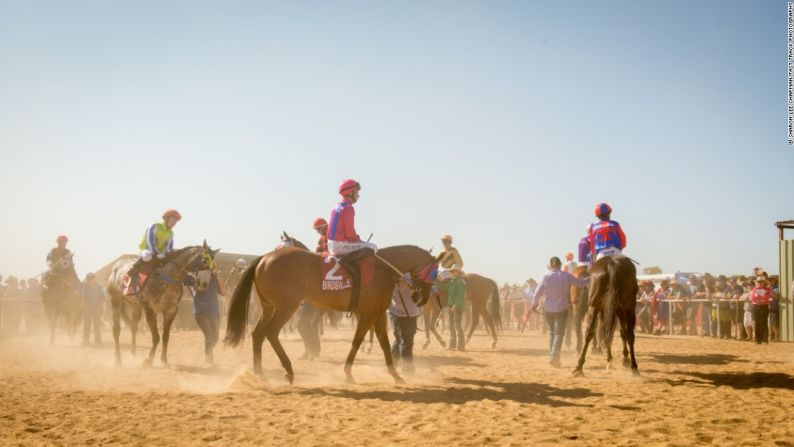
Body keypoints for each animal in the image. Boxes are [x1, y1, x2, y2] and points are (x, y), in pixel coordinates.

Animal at [223, 245, 436, 384]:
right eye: (434, 273)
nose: (422, 298)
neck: (384, 269)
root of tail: (264, 258)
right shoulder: (367, 315)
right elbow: (357, 341)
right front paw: (348, 373)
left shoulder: (377, 314)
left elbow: (384, 342)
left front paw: (395, 374)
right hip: (286, 307)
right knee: (271, 333)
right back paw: (288, 370)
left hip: (269, 308)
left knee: (258, 334)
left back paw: (259, 373)